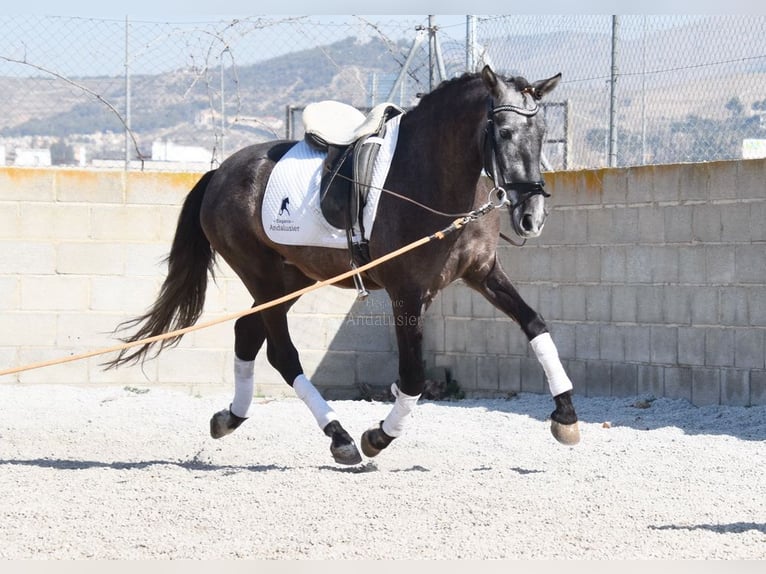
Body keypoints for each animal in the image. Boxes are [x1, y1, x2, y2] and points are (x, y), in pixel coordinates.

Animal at [106, 65, 580, 465]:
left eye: (541, 132)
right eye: (504, 132)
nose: (532, 217)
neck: (432, 178)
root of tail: (219, 173)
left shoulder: (482, 274)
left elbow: (536, 325)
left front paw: (566, 416)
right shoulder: (407, 295)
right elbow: (412, 378)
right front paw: (378, 436)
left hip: (288, 281)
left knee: (247, 332)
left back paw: (231, 417)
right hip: (264, 278)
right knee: (282, 353)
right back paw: (341, 437)